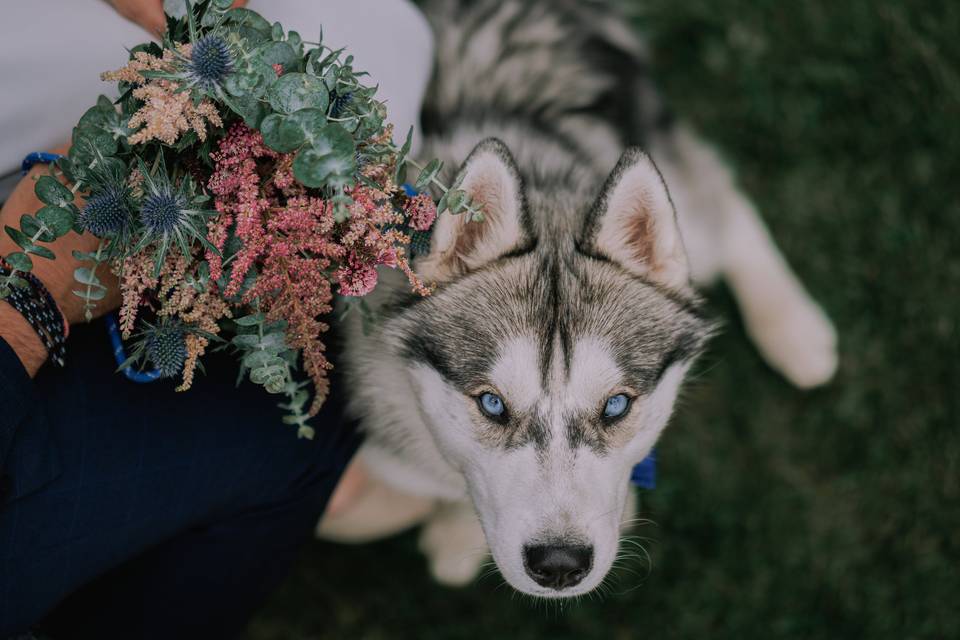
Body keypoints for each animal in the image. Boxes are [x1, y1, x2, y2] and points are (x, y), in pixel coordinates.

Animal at [318, 1, 836, 600]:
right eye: (491, 404)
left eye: (617, 406)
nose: (560, 564)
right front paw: (456, 529)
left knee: (722, 203)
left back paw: (795, 331)